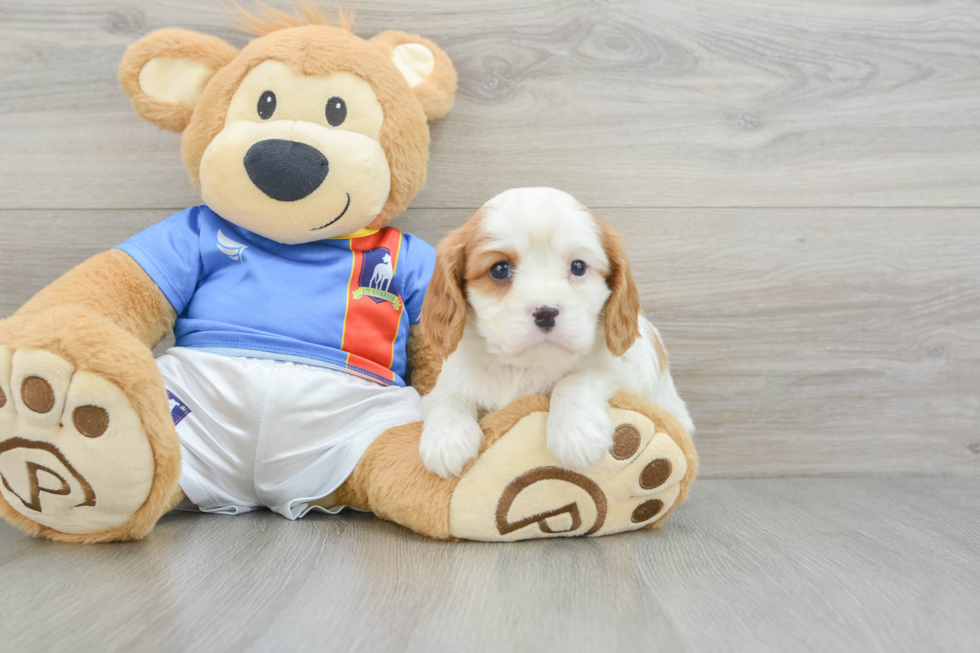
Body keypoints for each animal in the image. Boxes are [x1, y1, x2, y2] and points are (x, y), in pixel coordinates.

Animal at [418, 186, 692, 476]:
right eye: (500, 269)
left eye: (578, 266)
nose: (546, 312)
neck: (524, 366)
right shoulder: (450, 379)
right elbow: (446, 395)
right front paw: (446, 439)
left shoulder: (626, 375)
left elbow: (576, 378)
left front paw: (577, 433)